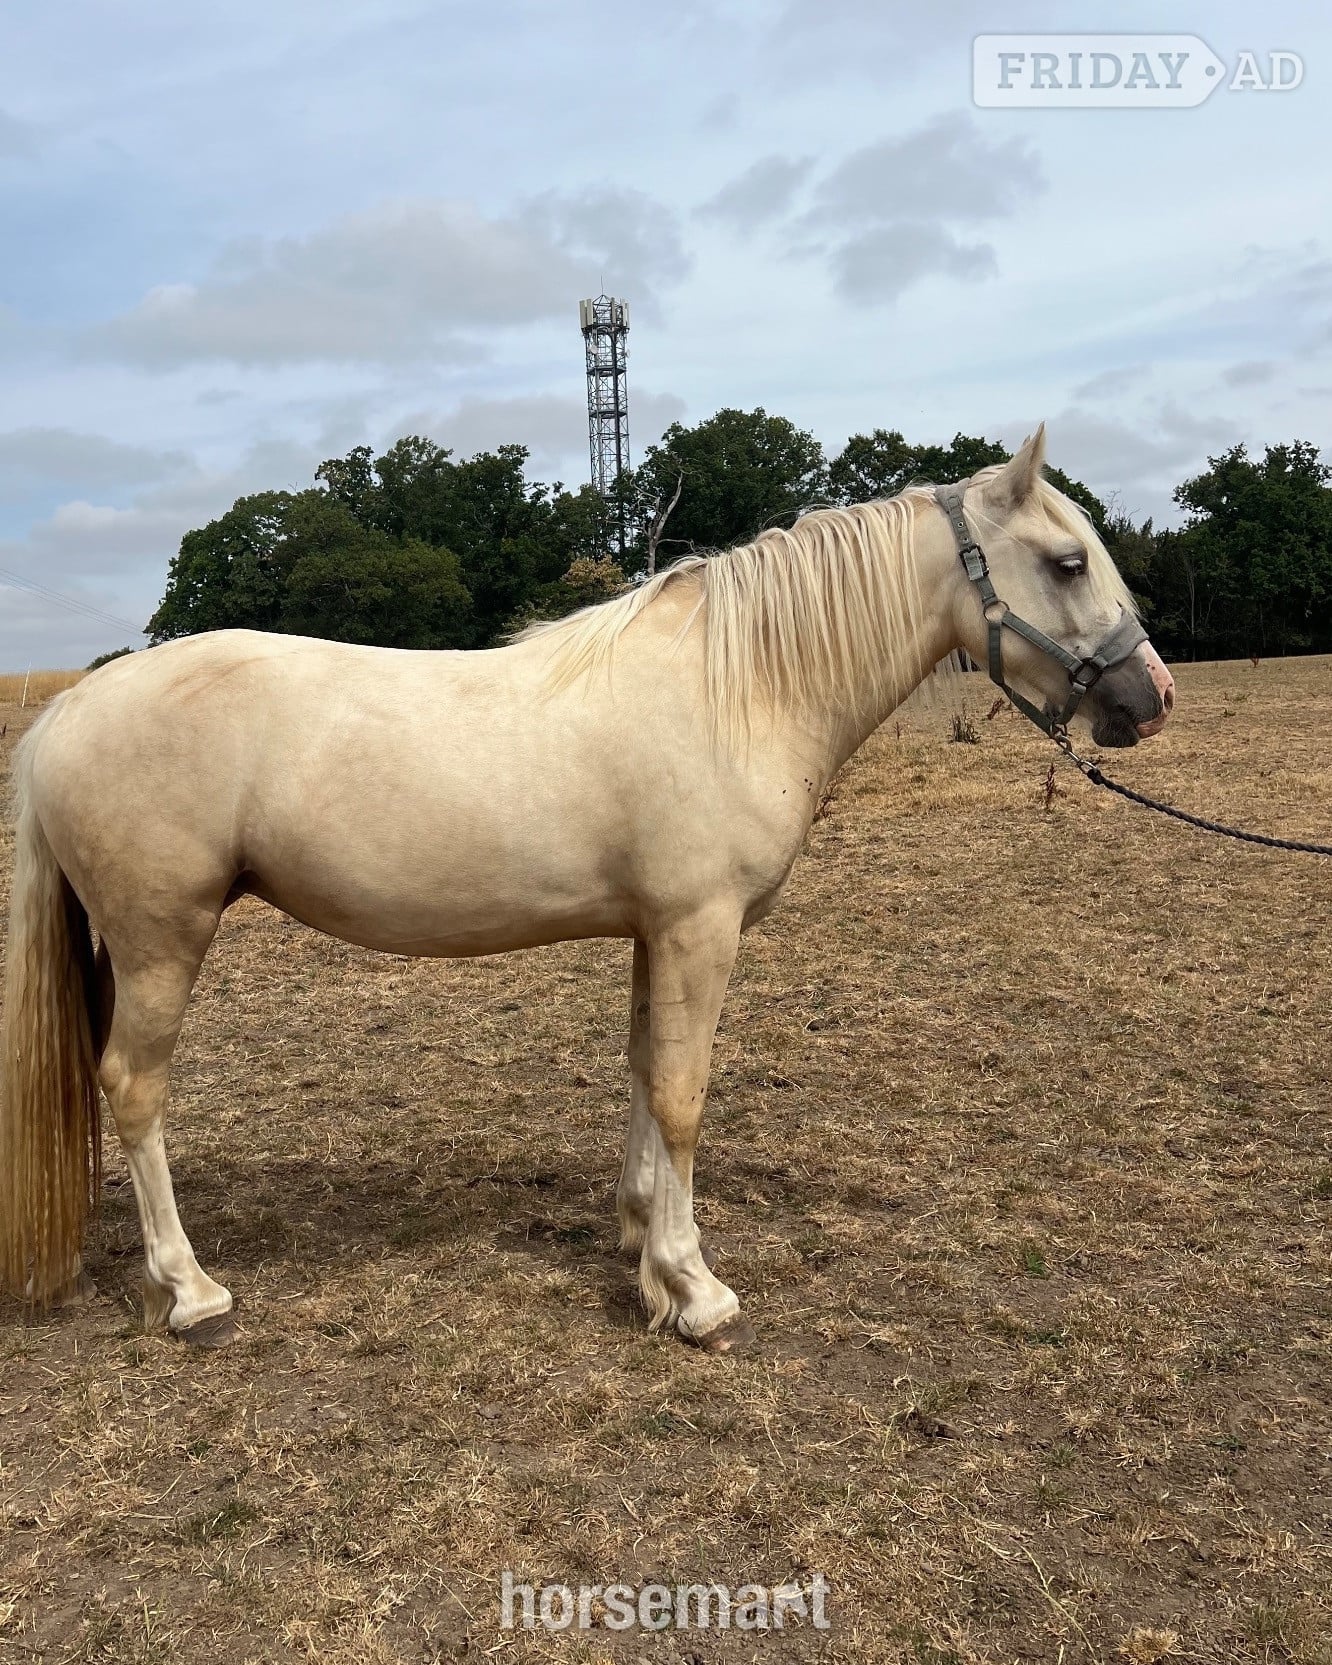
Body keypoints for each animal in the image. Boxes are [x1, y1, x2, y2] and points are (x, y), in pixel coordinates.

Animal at [0, 427, 1174, 1351]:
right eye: (1068, 561)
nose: (1152, 696)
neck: (737, 686)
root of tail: (66, 712)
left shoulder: (659, 932)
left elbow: (646, 1073)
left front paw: (643, 1240)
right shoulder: (701, 929)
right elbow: (685, 1094)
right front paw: (695, 1290)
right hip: (163, 939)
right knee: (134, 1090)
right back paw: (192, 1292)